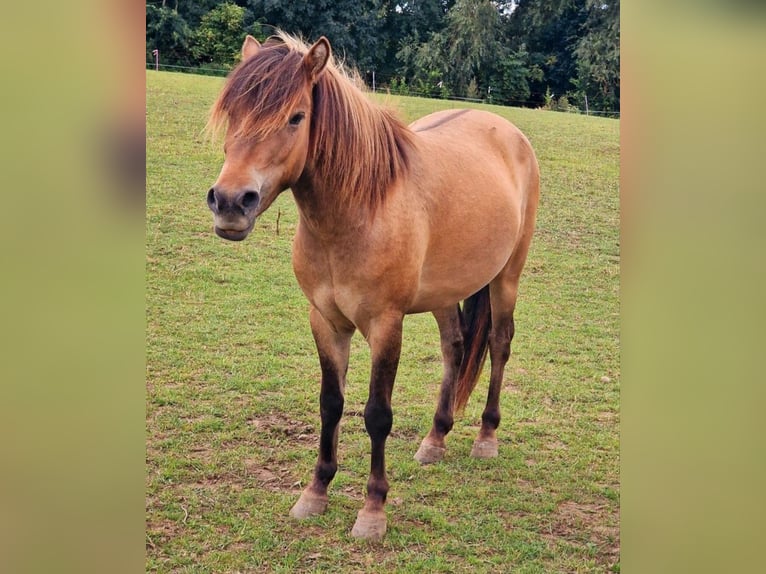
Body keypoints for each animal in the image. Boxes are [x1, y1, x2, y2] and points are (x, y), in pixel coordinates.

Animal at [206, 32, 540, 544]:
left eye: (296, 117)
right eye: (233, 113)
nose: (229, 203)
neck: (358, 210)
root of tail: (508, 131)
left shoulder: (386, 324)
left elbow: (377, 414)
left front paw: (373, 510)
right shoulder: (325, 321)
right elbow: (331, 404)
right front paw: (315, 492)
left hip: (507, 278)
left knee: (499, 345)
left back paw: (486, 438)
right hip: (445, 294)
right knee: (455, 348)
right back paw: (435, 438)